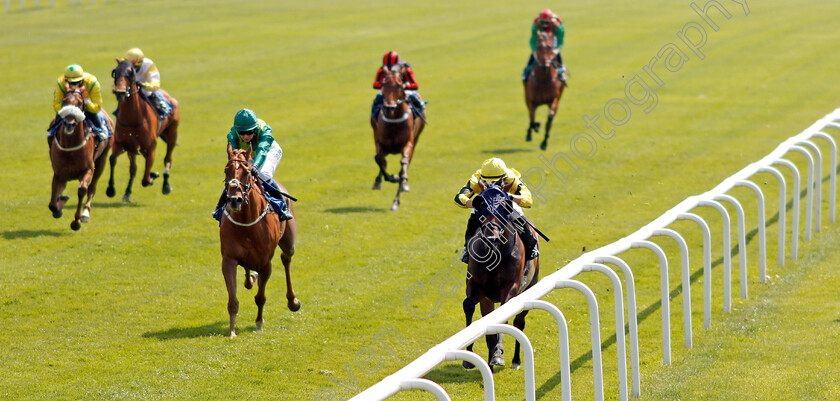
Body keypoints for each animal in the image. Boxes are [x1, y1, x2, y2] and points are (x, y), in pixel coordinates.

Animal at [48, 86, 113, 231]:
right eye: (64, 101)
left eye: (79, 103)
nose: (69, 124)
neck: (71, 146)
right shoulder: (58, 173)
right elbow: (52, 204)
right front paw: (59, 206)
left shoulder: (88, 169)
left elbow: (82, 190)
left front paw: (76, 222)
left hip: (102, 160)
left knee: (92, 187)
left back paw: (85, 213)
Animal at [106, 57, 179, 202]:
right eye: (115, 72)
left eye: (131, 72)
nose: (120, 92)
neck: (132, 120)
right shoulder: (123, 145)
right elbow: (113, 160)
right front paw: (111, 189)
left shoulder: (150, 148)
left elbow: (145, 179)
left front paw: (152, 176)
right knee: (133, 169)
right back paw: (127, 192)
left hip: (172, 135)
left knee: (167, 159)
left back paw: (165, 185)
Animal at [221, 147, 300, 338]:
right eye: (226, 171)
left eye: (247, 173)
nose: (234, 200)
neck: (247, 222)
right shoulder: (228, 259)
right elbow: (233, 300)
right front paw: (232, 331)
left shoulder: (266, 263)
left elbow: (261, 297)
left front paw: (258, 322)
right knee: (249, 273)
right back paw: (250, 277)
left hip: (289, 243)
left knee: (286, 258)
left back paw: (292, 301)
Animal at [370, 64, 426, 211]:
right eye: (384, 84)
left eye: (400, 85)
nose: (389, 108)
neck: (394, 119)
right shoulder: (380, 141)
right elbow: (379, 159)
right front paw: (391, 177)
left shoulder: (408, 143)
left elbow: (404, 164)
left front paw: (402, 182)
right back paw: (378, 182)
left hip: (416, 139)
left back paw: (397, 199)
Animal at [462, 186, 540, 370]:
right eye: (481, 213)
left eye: (503, 213)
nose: (491, 239)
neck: (495, 257)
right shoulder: (477, 287)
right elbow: (469, 305)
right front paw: (469, 356)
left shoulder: (511, 287)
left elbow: (504, 316)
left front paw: (498, 354)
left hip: (528, 289)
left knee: (519, 323)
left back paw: (515, 360)